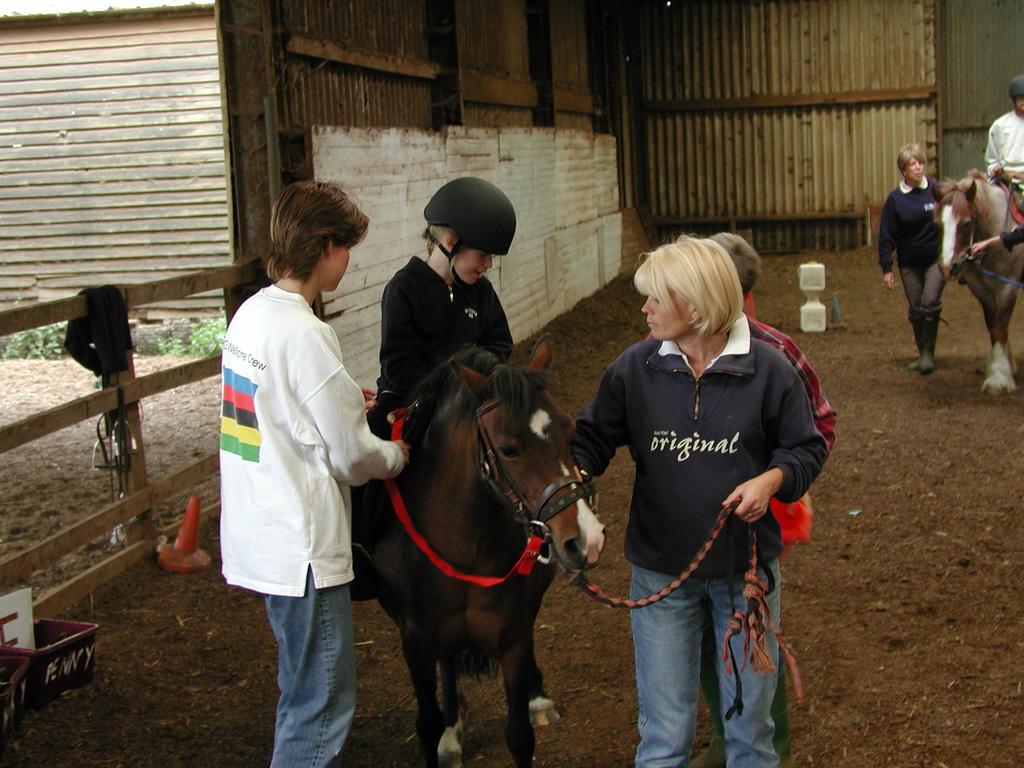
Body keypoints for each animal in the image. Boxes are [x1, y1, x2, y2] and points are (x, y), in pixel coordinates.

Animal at [370, 339, 602, 768]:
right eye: (508, 449)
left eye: (571, 430)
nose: (587, 540)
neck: (465, 540)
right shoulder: (415, 639)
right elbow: (425, 724)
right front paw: (442, 732)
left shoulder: (512, 633)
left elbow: (520, 736)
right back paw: (451, 732)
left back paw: (537, 699)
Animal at [937, 171, 1024, 393]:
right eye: (939, 224)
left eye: (967, 223)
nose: (947, 267)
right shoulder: (981, 289)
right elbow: (993, 326)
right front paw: (1003, 367)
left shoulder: (1008, 287)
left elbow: (999, 327)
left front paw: (998, 380)